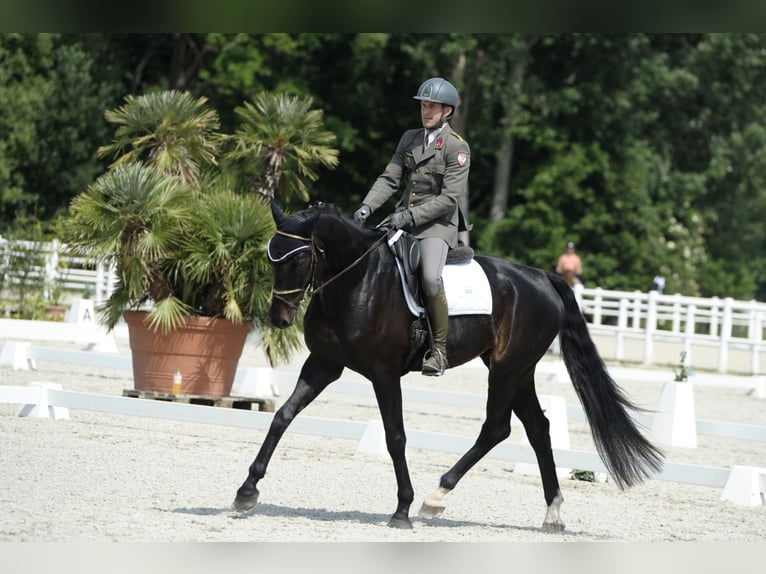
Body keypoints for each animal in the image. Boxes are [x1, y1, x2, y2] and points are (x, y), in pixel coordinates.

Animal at [234, 205, 664, 532]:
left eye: (299, 258)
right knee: (537, 428)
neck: (358, 280)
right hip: (516, 369)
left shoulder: (383, 373)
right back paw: (552, 512)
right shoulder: (324, 364)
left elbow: (395, 437)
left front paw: (402, 510)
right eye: (271, 256)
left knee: (497, 428)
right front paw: (247, 491)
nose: (279, 318)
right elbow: (283, 416)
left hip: (507, 369)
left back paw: (435, 497)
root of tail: (542, 277)